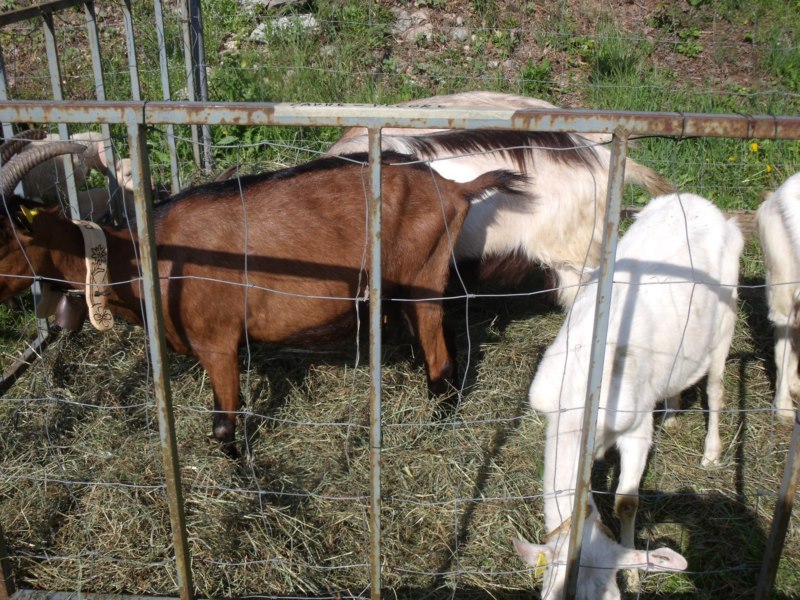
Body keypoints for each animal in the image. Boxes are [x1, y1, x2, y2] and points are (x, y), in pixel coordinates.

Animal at [0, 138, 524, 452]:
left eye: (8, 237)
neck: (144, 257)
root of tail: (455, 188)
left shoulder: (218, 343)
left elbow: (223, 426)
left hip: (422, 279)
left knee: (443, 362)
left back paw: (434, 426)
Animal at [516, 193, 740, 600]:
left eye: (609, 593)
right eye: (551, 592)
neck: (578, 399)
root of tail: (699, 201)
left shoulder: (635, 425)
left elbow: (626, 501)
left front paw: (635, 571)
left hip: (726, 315)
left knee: (716, 387)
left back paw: (711, 452)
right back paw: (672, 414)